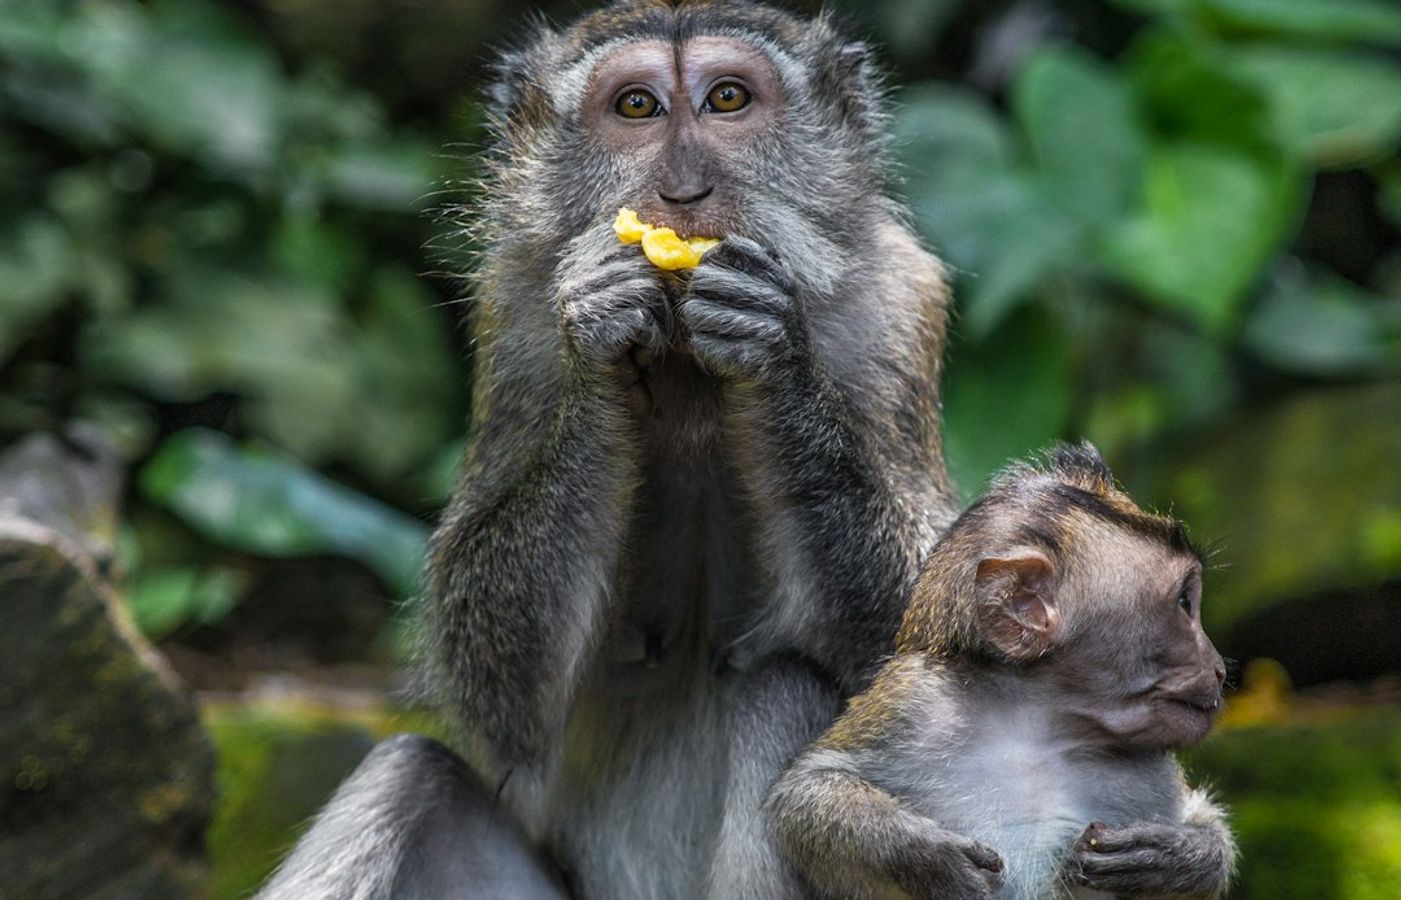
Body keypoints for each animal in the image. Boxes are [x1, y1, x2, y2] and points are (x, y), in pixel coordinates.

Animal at [256, 2, 960, 898]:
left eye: (728, 98)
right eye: (635, 107)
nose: (682, 192)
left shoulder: (899, 310)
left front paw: (774, 354)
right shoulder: (512, 320)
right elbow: (501, 699)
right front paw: (599, 336)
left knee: (780, 689)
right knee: (410, 774)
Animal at [765, 442, 1237, 900]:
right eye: (1184, 602)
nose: (1217, 667)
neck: (1039, 724)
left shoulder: (1150, 769)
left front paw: (1180, 855)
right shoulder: (914, 704)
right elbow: (804, 792)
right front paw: (924, 855)